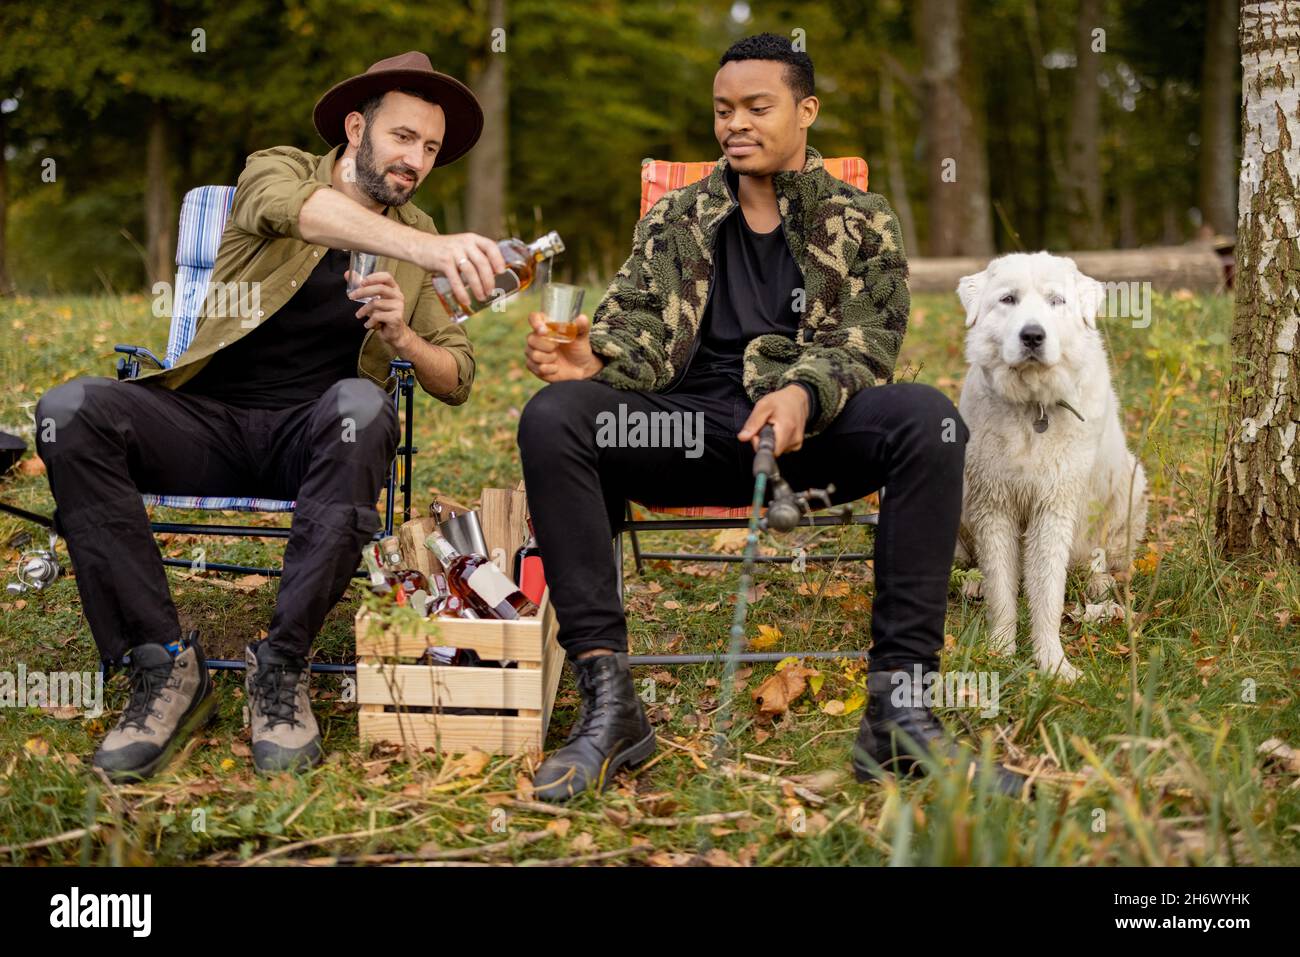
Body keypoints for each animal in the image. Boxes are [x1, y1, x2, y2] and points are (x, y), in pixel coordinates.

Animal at [956, 254, 1149, 681]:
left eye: (1056, 301)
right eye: (1008, 299)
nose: (1032, 336)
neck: (1034, 408)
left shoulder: (1054, 507)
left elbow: (1047, 594)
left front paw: (1053, 664)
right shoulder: (993, 504)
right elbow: (1002, 589)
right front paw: (1000, 652)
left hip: (1128, 483)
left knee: (1101, 555)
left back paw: (1098, 584)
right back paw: (974, 581)